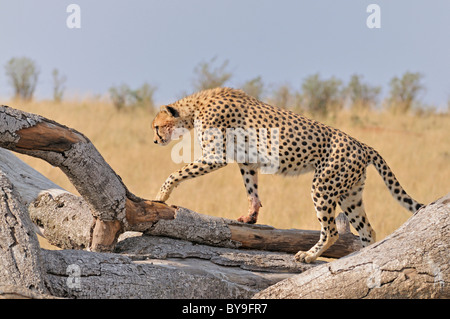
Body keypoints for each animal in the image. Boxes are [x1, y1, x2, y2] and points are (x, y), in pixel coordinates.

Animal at [153, 87, 424, 262]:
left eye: (156, 126)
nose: (155, 141)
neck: (195, 107)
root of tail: (363, 145)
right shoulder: (247, 158)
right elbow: (251, 187)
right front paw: (251, 215)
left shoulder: (215, 156)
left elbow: (176, 173)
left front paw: (161, 195)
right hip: (350, 195)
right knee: (367, 231)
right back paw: (363, 259)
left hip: (323, 188)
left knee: (332, 230)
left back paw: (309, 255)